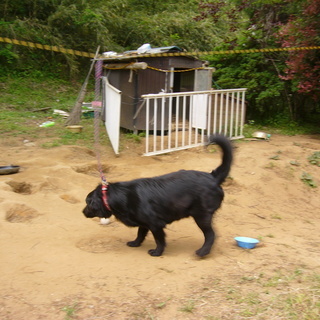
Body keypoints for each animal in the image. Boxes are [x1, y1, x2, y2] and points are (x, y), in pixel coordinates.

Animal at [83, 135, 232, 258]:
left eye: (88, 203)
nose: (83, 212)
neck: (120, 195)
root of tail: (213, 177)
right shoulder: (144, 223)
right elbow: (140, 233)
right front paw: (135, 243)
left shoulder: (155, 224)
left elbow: (159, 240)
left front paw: (157, 252)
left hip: (202, 216)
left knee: (211, 235)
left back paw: (203, 252)